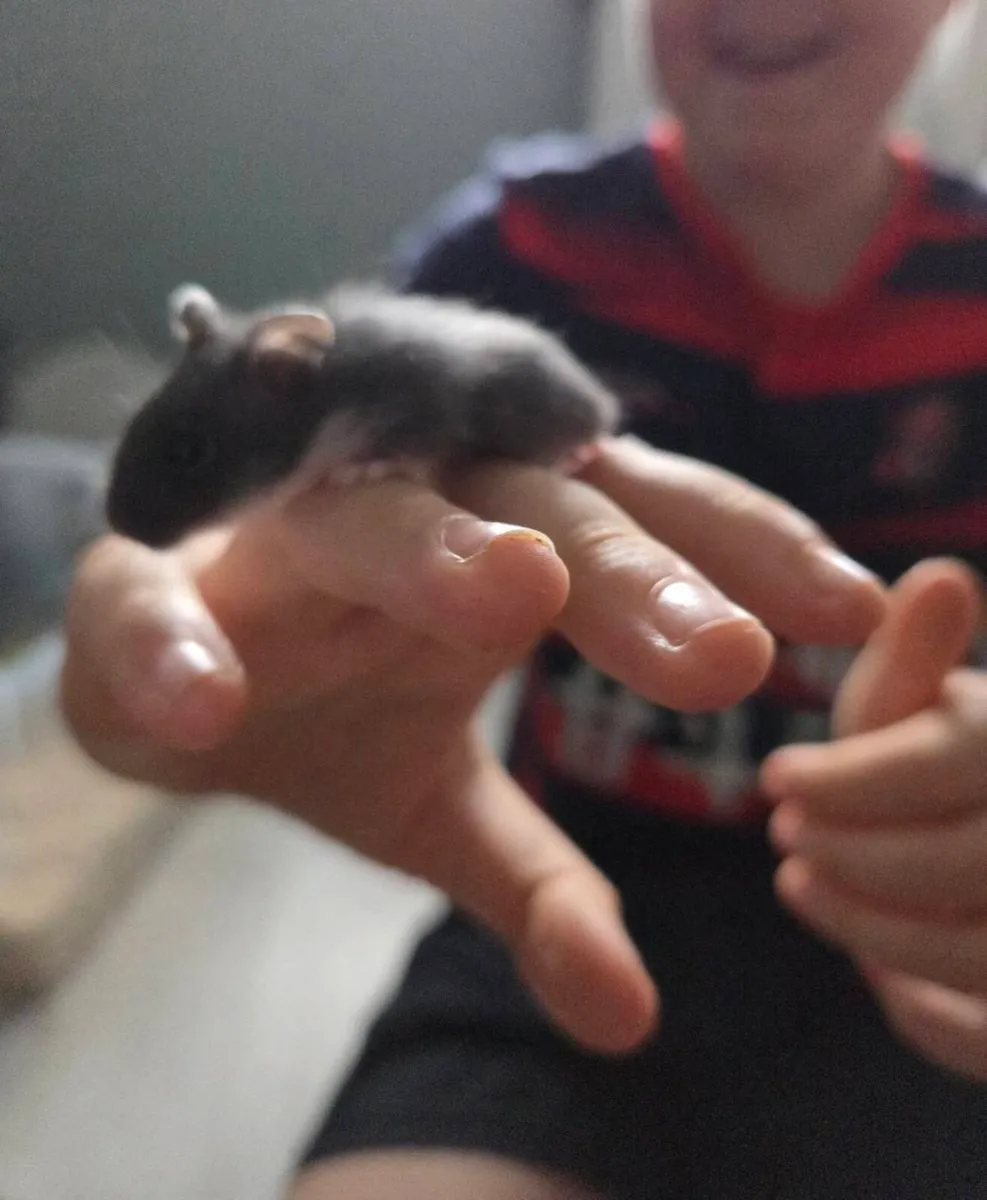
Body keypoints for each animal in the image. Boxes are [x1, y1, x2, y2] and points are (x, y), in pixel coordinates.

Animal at [105, 282, 620, 548]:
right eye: (133, 425)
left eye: (188, 451)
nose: (120, 529)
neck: (329, 400)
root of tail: (602, 401)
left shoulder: (424, 404)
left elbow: (409, 450)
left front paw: (362, 469)